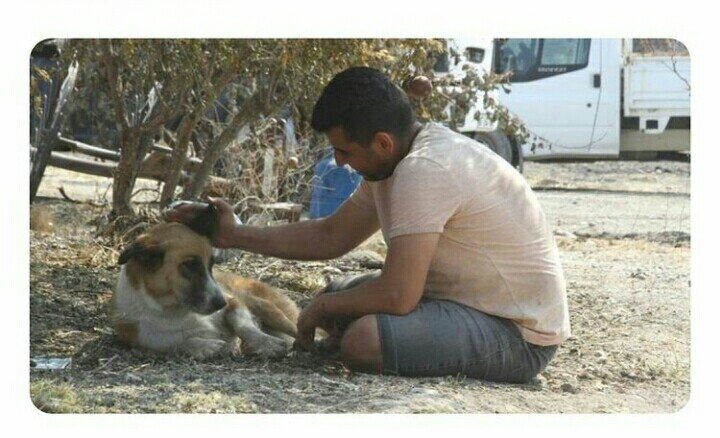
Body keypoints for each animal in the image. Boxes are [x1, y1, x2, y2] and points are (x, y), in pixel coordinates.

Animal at [109, 205, 298, 360]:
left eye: (211, 265)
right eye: (189, 265)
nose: (221, 303)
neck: (176, 310)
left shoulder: (235, 303)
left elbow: (244, 326)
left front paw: (267, 342)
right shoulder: (141, 335)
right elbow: (175, 342)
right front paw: (205, 346)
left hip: (269, 311)